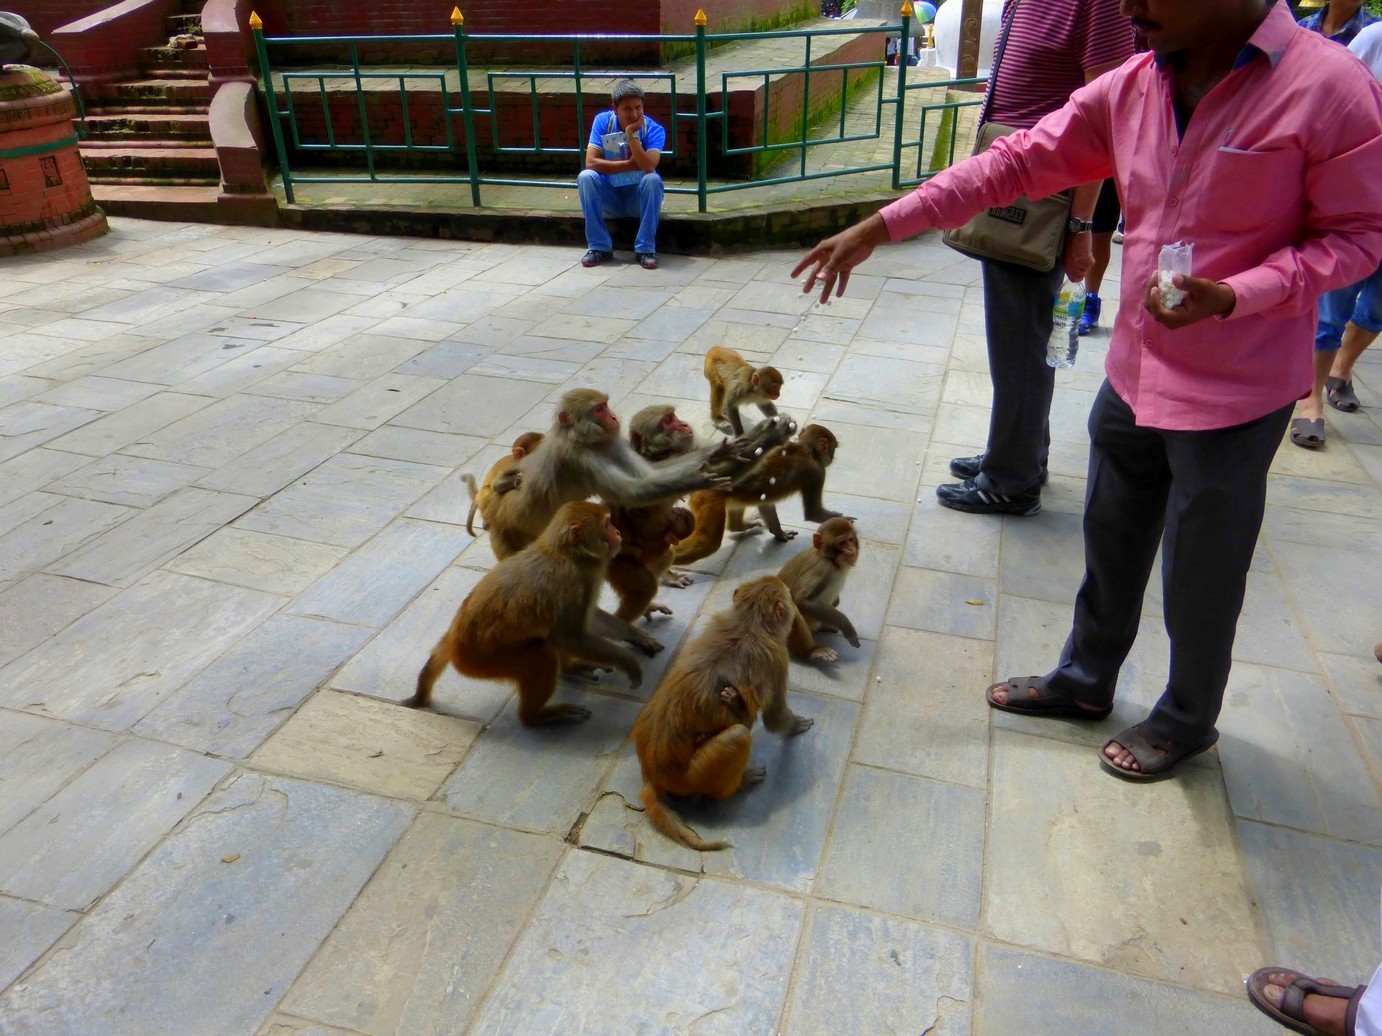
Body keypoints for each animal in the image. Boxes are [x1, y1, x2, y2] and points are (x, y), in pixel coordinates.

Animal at [406, 500, 649, 723]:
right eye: (607, 524)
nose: (618, 532)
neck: (569, 555)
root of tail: (455, 640)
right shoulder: (571, 582)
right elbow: (571, 637)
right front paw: (628, 662)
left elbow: (587, 622)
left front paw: (637, 637)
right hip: (483, 662)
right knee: (543, 654)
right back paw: (536, 716)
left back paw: (570, 669)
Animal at [632, 577, 812, 850]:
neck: (749, 622)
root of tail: (651, 773)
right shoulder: (779, 660)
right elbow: (775, 718)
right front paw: (795, 724)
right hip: (692, 777)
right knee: (738, 736)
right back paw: (736, 786)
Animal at [671, 422, 845, 569]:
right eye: (833, 448)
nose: (832, 457)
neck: (805, 449)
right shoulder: (816, 472)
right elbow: (813, 512)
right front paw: (844, 520)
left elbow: (765, 501)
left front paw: (779, 533)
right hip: (710, 497)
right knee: (707, 542)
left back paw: (739, 525)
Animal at [784, 519, 856, 665]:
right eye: (842, 543)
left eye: (851, 540)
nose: (852, 549)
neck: (832, 561)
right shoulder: (822, 569)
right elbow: (803, 599)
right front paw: (845, 624)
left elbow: (835, 601)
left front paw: (836, 602)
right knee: (793, 608)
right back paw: (811, 652)